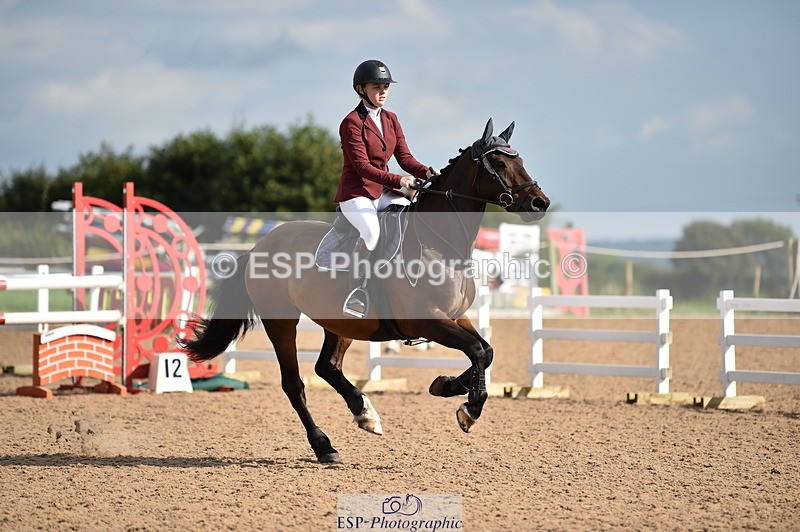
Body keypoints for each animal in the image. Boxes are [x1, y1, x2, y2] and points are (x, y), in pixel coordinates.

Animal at [180, 118, 550, 464]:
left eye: (519, 160)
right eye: (499, 163)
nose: (539, 202)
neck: (439, 246)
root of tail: (261, 244)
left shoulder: (456, 317)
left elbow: (485, 351)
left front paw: (446, 385)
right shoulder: (428, 320)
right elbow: (476, 350)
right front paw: (469, 410)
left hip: (341, 322)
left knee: (327, 367)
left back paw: (364, 412)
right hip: (281, 321)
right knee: (294, 384)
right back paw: (325, 446)